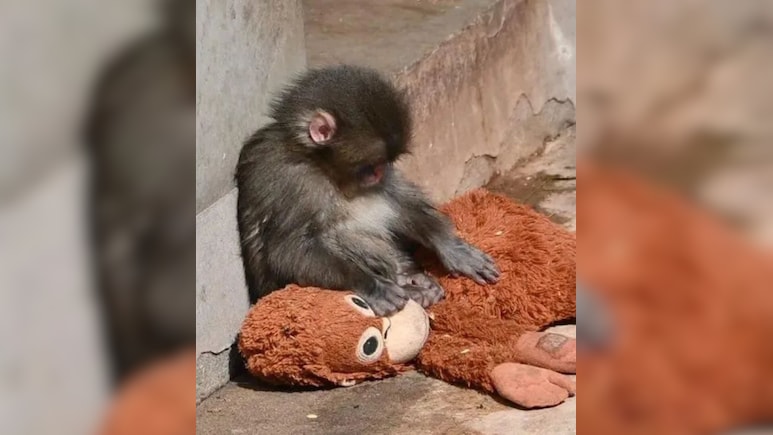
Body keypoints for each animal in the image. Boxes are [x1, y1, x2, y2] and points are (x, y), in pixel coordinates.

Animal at [236, 65, 500, 316]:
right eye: (370, 166)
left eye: (384, 163)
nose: (380, 174)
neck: (319, 164)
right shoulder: (291, 180)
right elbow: (287, 250)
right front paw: (372, 285)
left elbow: (396, 197)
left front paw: (451, 246)